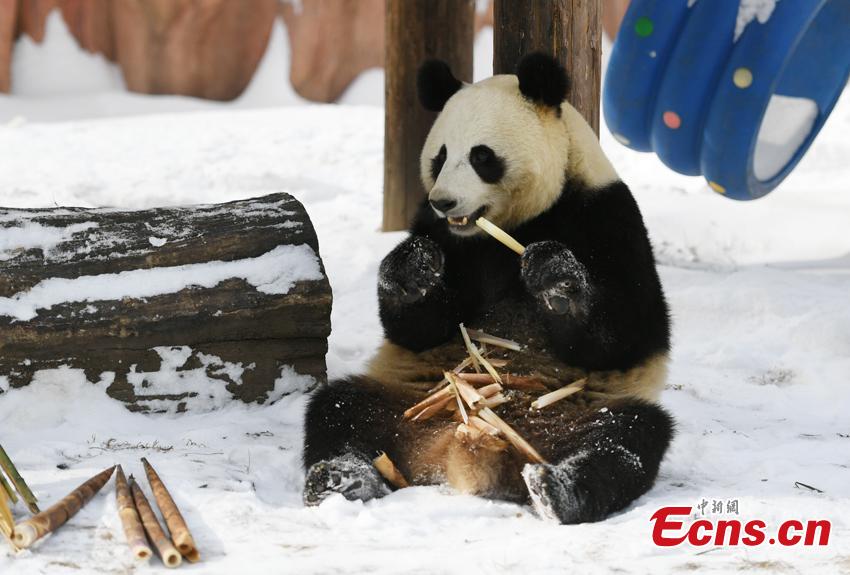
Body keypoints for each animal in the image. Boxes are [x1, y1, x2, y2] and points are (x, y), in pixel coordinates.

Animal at [302, 54, 672, 528]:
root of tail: (457, 451)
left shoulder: (607, 216)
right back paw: (340, 479)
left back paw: (558, 489)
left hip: (581, 407)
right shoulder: (441, 233)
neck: (507, 226)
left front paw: (555, 276)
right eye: (439, 157)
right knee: (339, 411)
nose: (444, 201)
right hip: (405, 398)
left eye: (481, 156)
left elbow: (627, 332)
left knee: (625, 438)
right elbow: (418, 329)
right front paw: (412, 269)